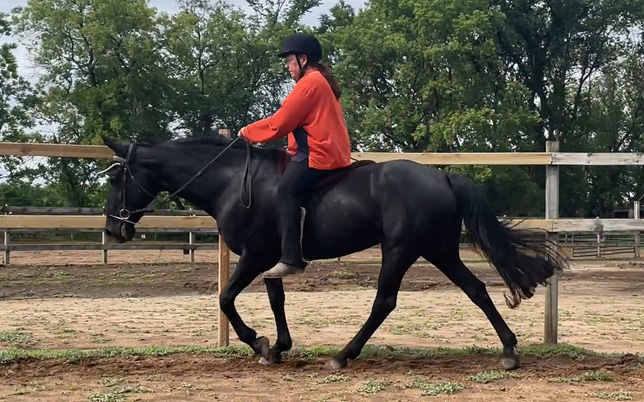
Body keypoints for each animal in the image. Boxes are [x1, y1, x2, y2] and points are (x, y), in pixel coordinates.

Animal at [102, 135, 568, 370]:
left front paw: (258, 343)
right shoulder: (272, 260)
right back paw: (508, 351)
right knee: (476, 290)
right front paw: (279, 346)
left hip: (400, 250)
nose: (114, 228)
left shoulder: (255, 255)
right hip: (438, 250)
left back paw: (344, 355)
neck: (231, 180)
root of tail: (443, 177)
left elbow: (226, 298)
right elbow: (275, 297)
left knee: (384, 301)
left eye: (116, 179)